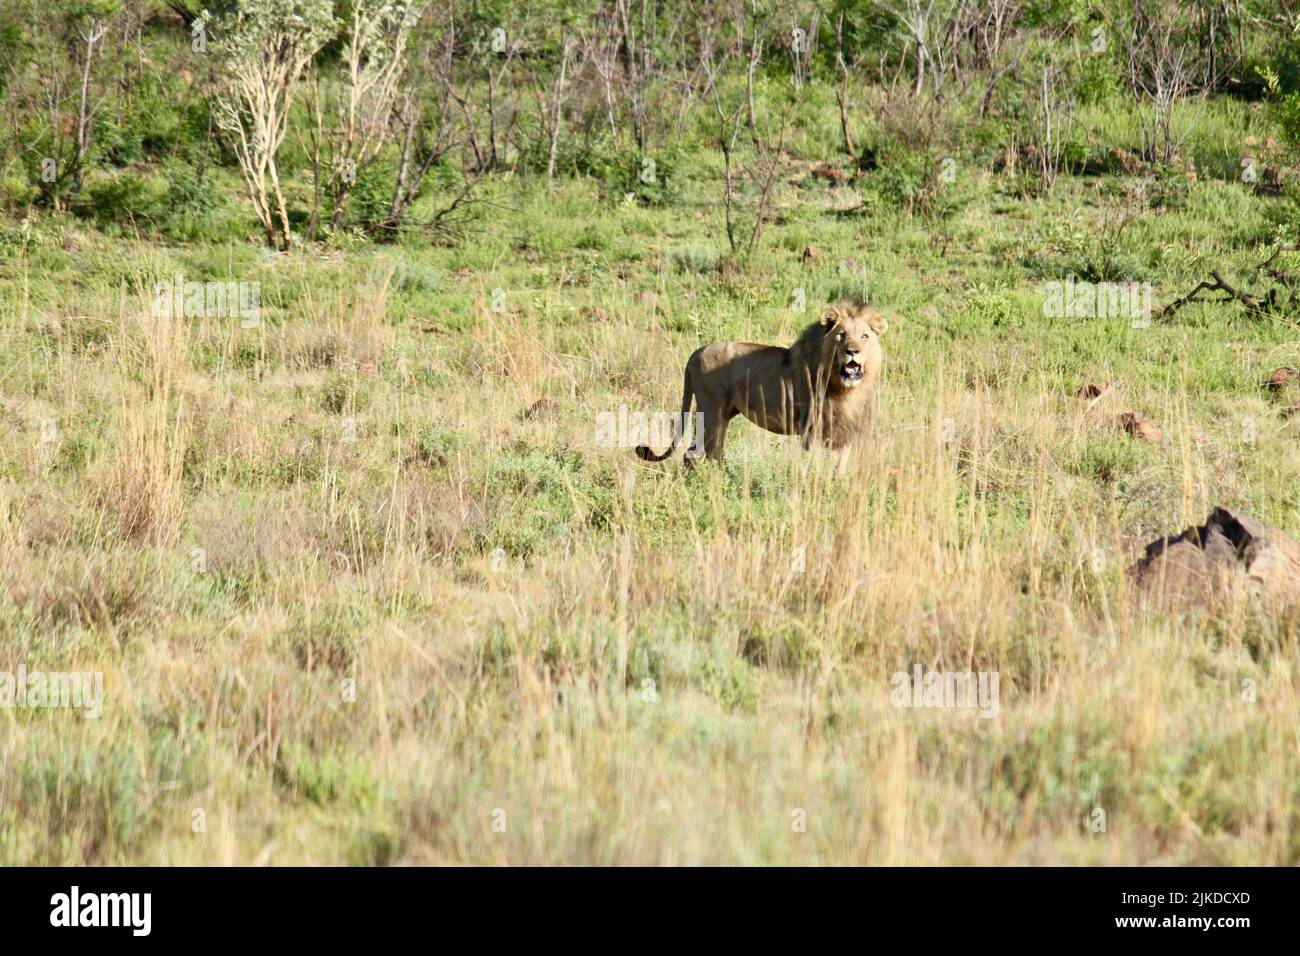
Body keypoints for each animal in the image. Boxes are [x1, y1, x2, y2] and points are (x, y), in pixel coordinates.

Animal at [635, 301, 887, 469]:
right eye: (841, 335)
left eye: (864, 336)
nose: (852, 351)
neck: (843, 387)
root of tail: (696, 353)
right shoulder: (810, 430)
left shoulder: (842, 432)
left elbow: (839, 468)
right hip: (711, 412)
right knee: (699, 453)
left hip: (720, 415)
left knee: (705, 452)